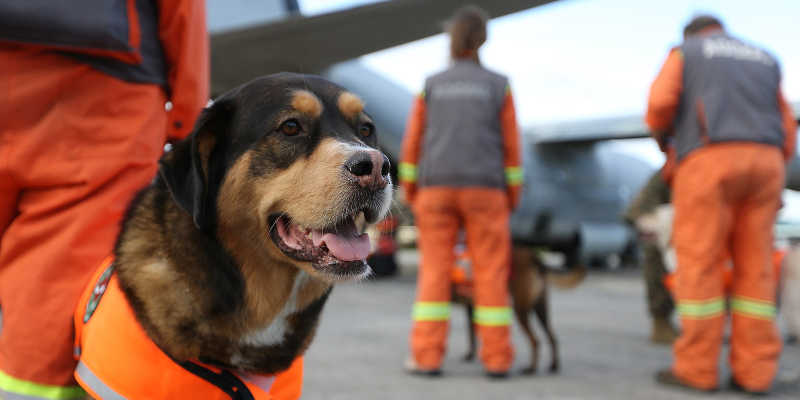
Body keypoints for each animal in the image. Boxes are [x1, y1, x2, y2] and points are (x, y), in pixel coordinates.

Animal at [450, 245, 588, 374]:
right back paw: (553, 366)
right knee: (552, 337)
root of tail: (533, 256)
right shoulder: (472, 307)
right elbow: (472, 335)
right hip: (540, 309)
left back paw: (531, 369)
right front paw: (470, 355)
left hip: (520, 309)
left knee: (535, 341)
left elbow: (471, 334)